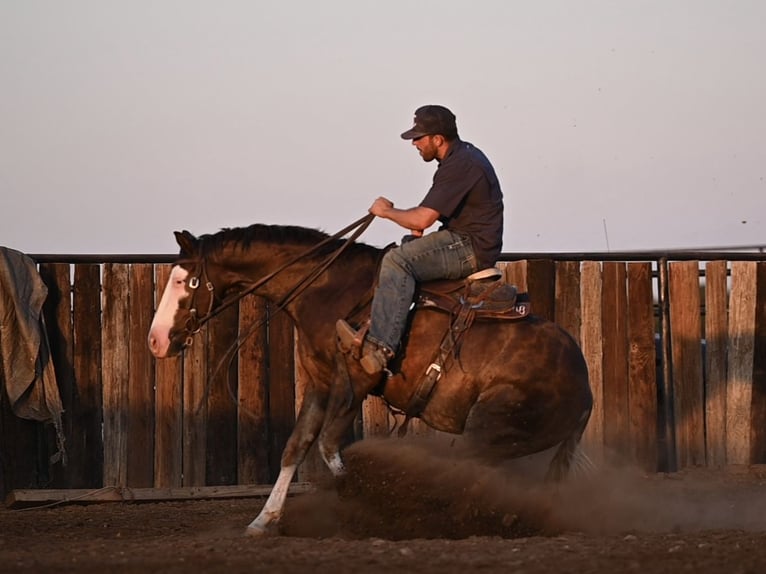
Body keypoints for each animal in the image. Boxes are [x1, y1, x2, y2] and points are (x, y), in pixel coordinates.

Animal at [148, 223, 592, 536]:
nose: (156, 340)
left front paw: (360, 500)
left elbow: (329, 447)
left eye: (183, 281)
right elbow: (297, 446)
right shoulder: (321, 382)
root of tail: (585, 388)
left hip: (489, 427)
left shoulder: (356, 381)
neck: (331, 291)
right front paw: (263, 520)